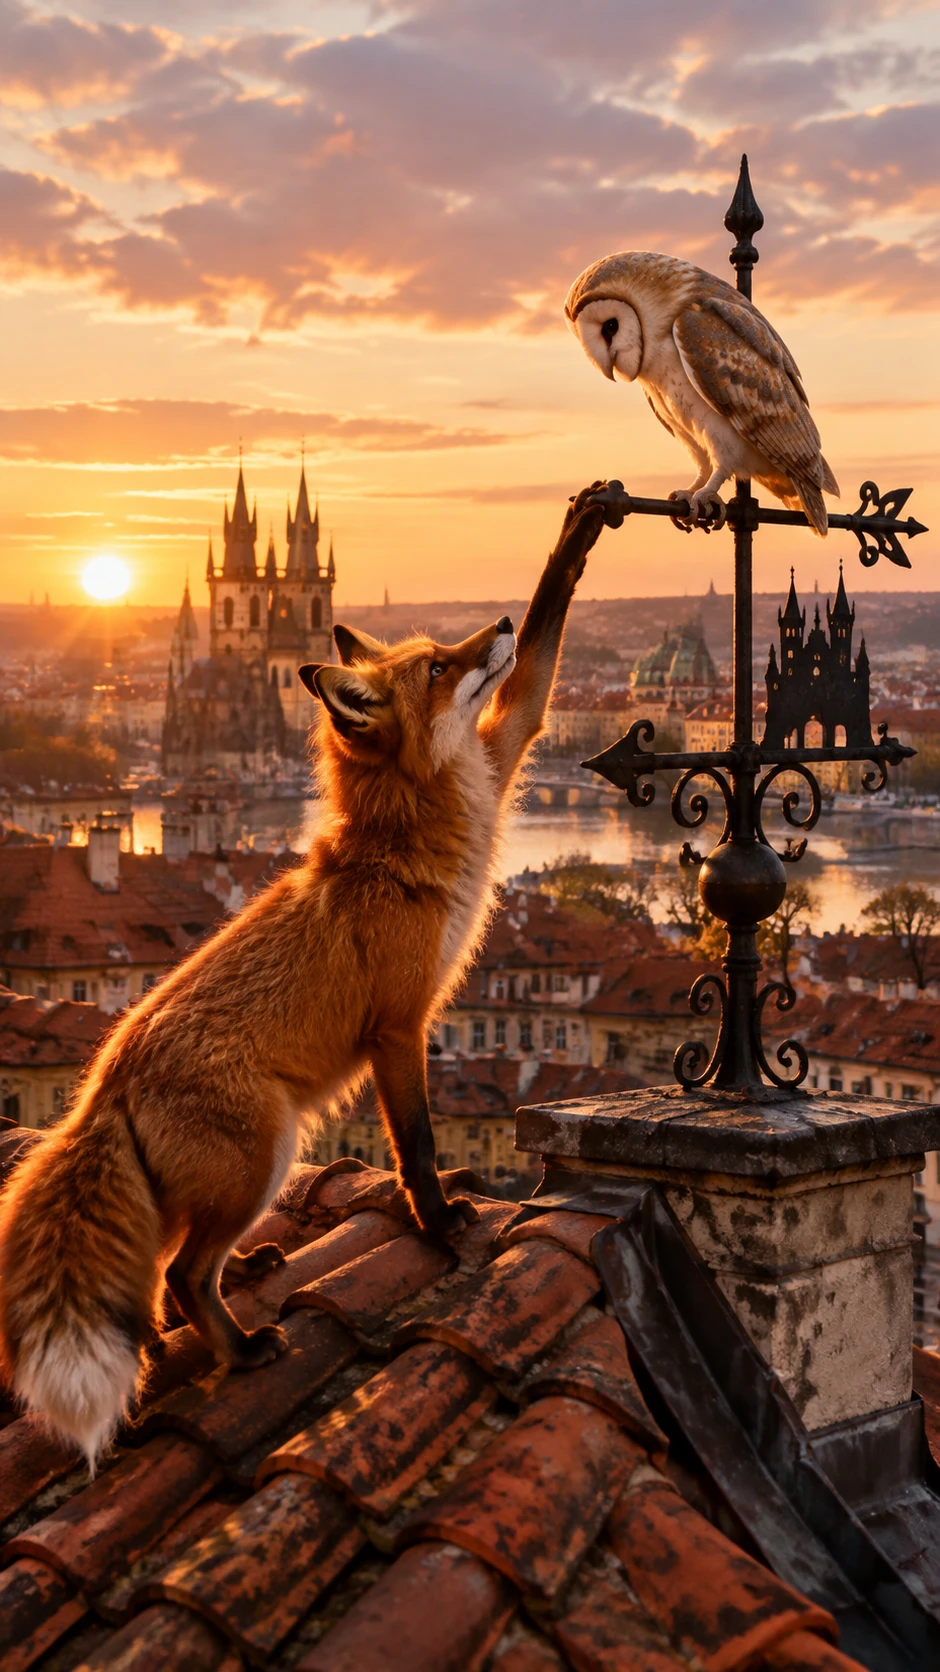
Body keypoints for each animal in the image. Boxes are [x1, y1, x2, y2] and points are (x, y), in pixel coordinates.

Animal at [0, 486, 607, 1469]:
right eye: (437, 667)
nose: (497, 628)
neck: (411, 820)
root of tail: (105, 1084)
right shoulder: (400, 1027)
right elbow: (418, 1143)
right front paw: (439, 1221)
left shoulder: (508, 740)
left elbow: (545, 651)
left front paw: (581, 530)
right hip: (265, 1151)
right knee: (181, 1271)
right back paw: (242, 1349)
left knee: (163, 1270)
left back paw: (221, 1295)